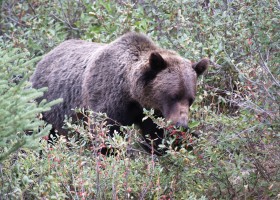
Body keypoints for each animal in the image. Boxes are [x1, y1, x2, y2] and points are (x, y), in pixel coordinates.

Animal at [31, 32, 208, 153]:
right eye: (173, 96)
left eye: (190, 99)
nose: (181, 125)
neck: (131, 93)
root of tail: (46, 56)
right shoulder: (106, 96)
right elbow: (105, 131)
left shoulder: (151, 113)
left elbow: (155, 136)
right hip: (45, 105)